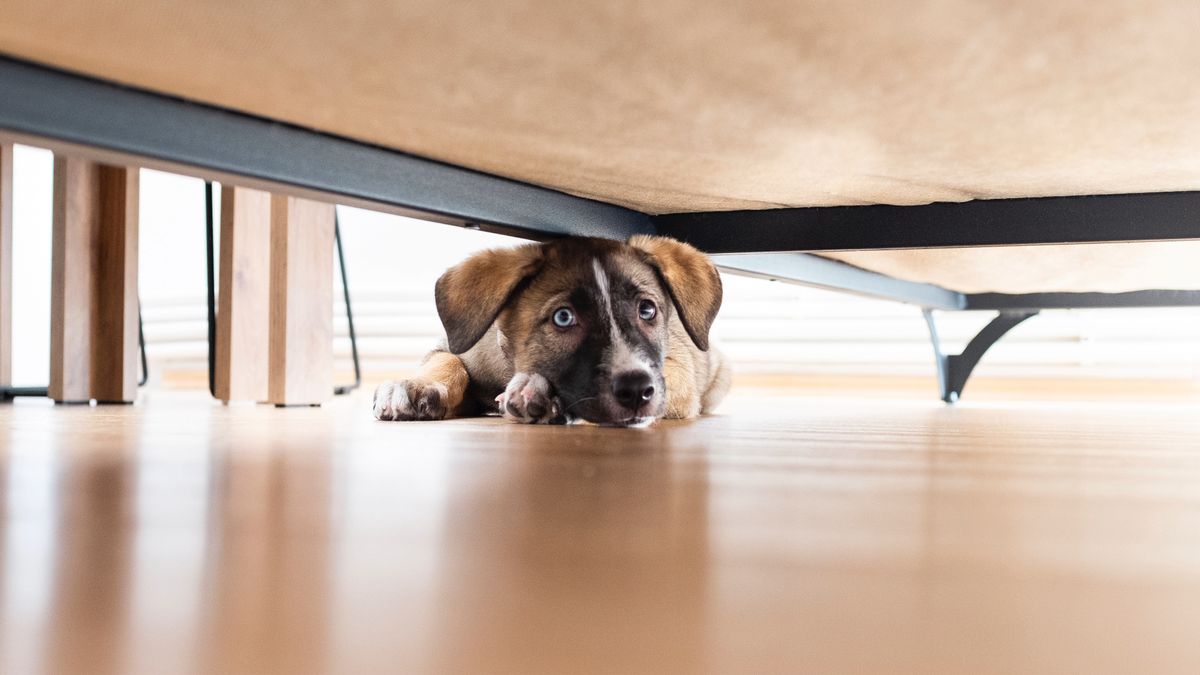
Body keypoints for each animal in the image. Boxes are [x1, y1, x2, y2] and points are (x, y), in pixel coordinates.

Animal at [372, 235, 729, 425]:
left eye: (647, 310)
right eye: (563, 317)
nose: (637, 390)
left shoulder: (676, 370)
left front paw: (536, 392)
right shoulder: (455, 345)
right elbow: (448, 361)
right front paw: (415, 386)